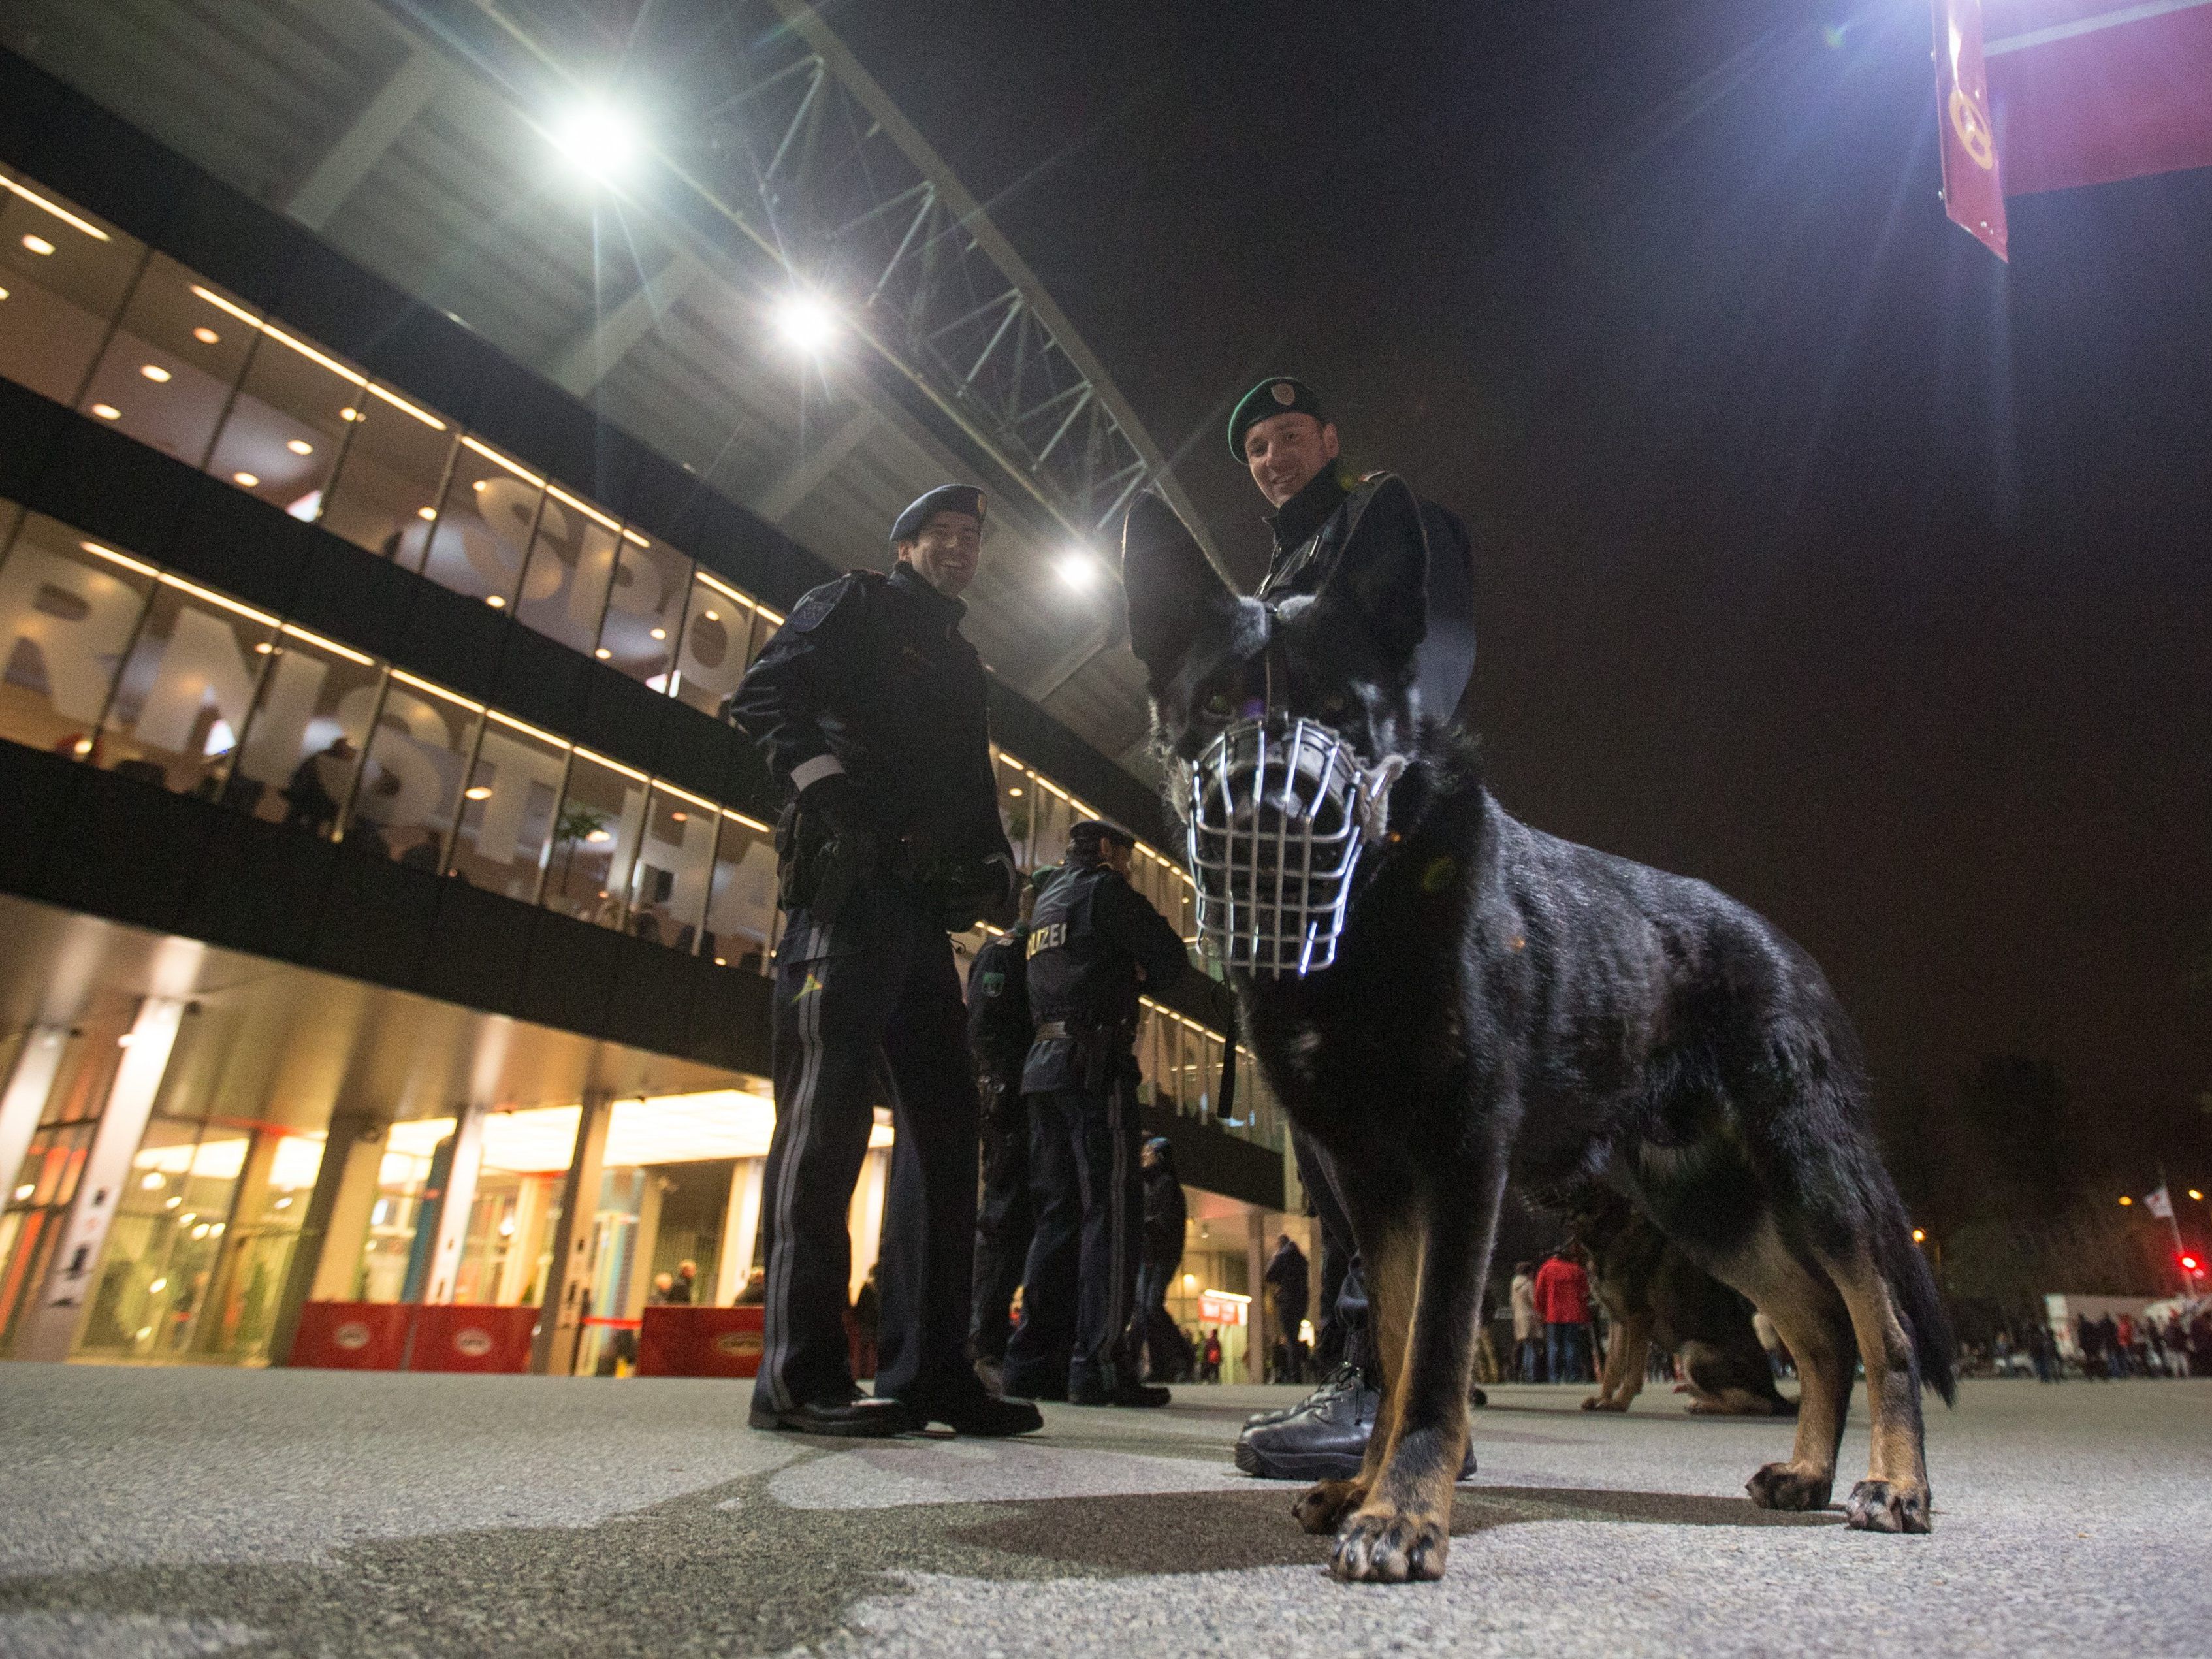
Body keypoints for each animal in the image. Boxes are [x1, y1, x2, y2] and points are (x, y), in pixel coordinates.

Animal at [1123, 484, 1955, 1583]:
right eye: (1220, 707)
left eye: (1342, 714)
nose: (1268, 810)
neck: (1372, 911)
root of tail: (1786, 948)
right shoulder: (1374, 1184)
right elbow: (1392, 1347)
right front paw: (1369, 1485)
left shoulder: (1459, 1165)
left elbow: (1432, 1358)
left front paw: (1403, 1513)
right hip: (1708, 1209)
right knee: (1819, 1333)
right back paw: (1808, 1471)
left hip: (1808, 1173)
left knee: (1880, 1326)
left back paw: (1896, 1482)